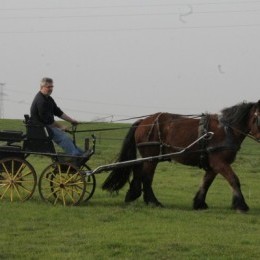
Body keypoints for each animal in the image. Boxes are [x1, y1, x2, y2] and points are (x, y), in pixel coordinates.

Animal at [102, 100, 260, 212]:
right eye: (258, 118)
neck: (227, 130)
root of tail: (144, 121)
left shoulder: (213, 165)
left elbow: (205, 183)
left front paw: (199, 203)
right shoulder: (219, 162)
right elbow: (234, 180)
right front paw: (241, 205)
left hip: (150, 157)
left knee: (138, 169)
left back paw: (133, 194)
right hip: (151, 157)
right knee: (146, 177)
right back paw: (153, 201)